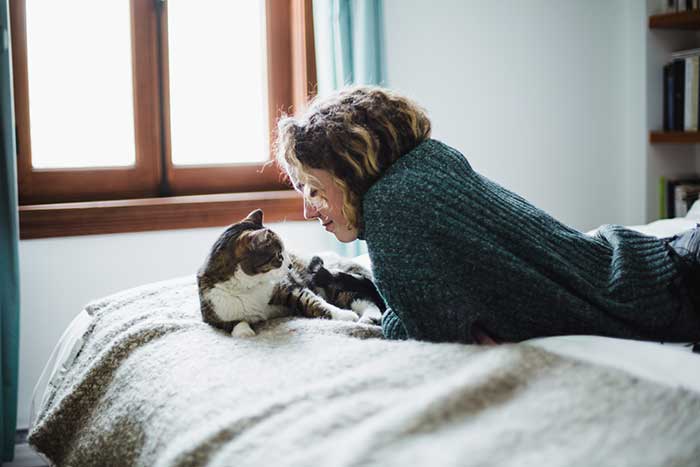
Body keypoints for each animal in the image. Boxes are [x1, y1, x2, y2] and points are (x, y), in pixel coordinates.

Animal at [197, 208, 386, 336]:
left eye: (285, 252)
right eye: (279, 256)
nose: (289, 265)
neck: (248, 287)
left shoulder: (287, 287)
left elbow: (313, 302)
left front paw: (344, 315)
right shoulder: (213, 312)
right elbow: (232, 323)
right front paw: (244, 332)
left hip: (332, 281)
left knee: (364, 299)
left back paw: (368, 318)